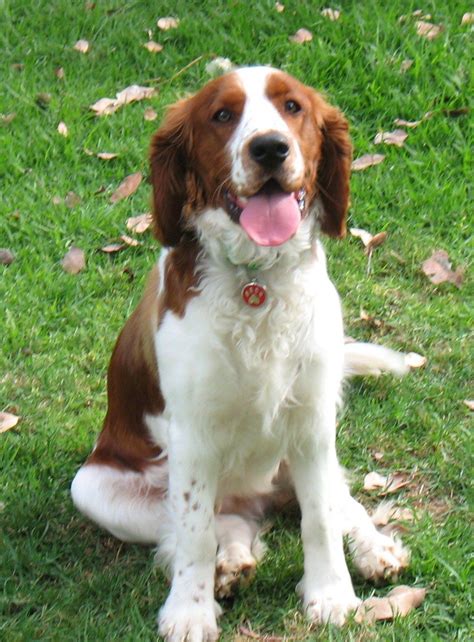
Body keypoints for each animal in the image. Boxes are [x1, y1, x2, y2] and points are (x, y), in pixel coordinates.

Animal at [71, 66, 412, 640]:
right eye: (223, 115)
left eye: (293, 107)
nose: (270, 148)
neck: (259, 281)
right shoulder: (192, 433)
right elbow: (192, 530)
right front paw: (189, 612)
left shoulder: (312, 422)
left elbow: (321, 517)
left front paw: (331, 596)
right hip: (92, 486)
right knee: (211, 525)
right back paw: (229, 562)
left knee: (341, 501)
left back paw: (373, 548)